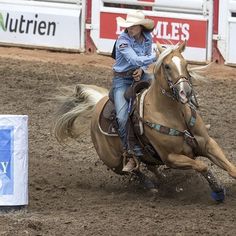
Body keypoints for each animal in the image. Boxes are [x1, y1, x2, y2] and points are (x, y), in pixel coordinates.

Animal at [53, 41, 236, 202]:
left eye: (185, 64)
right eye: (167, 66)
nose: (186, 92)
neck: (174, 115)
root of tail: (99, 102)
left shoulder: (208, 143)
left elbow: (231, 168)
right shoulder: (171, 157)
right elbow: (202, 166)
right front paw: (217, 190)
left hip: (146, 155)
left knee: (150, 166)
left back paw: (165, 182)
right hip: (113, 161)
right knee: (133, 171)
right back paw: (150, 185)